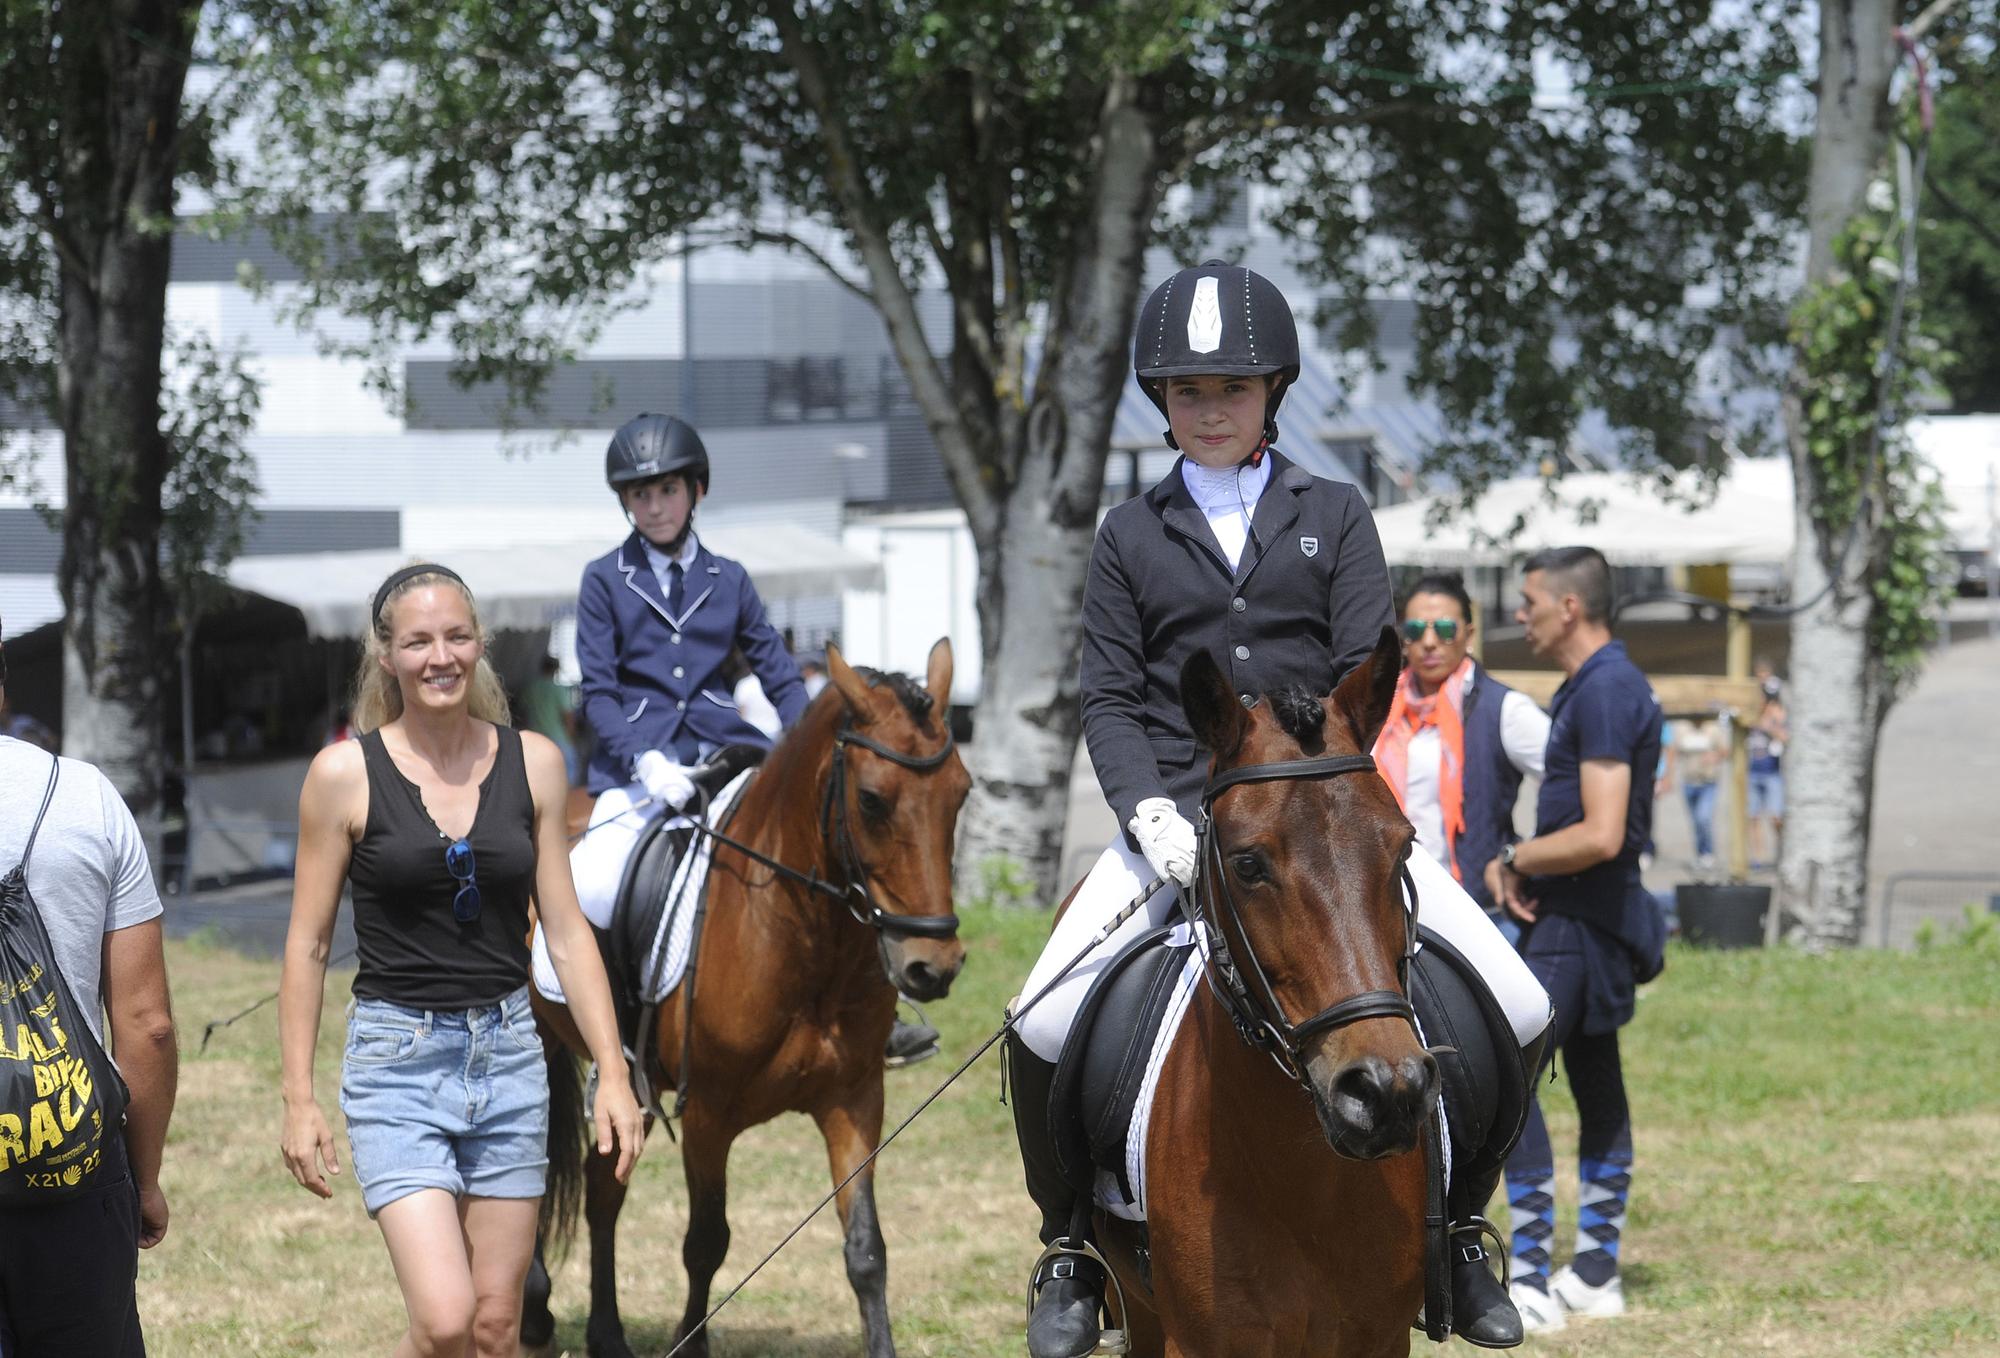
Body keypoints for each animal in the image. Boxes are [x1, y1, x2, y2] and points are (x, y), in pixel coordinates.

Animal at [524, 640, 968, 1358]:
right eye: (872, 800)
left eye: (961, 794)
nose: (934, 966)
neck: (804, 938)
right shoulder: (709, 1113)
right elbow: (706, 1242)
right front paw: (692, 1342)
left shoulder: (854, 1101)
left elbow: (867, 1250)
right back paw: (536, 1312)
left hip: (626, 1083)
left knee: (601, 1189)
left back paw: (606, 1334)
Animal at [1096, 628, 1440, 1358]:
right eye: (1248, 864)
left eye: (1403, 849)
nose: (1384, 1091)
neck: (1302, 1179)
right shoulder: (1200, 1340)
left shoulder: (1380, 1335)